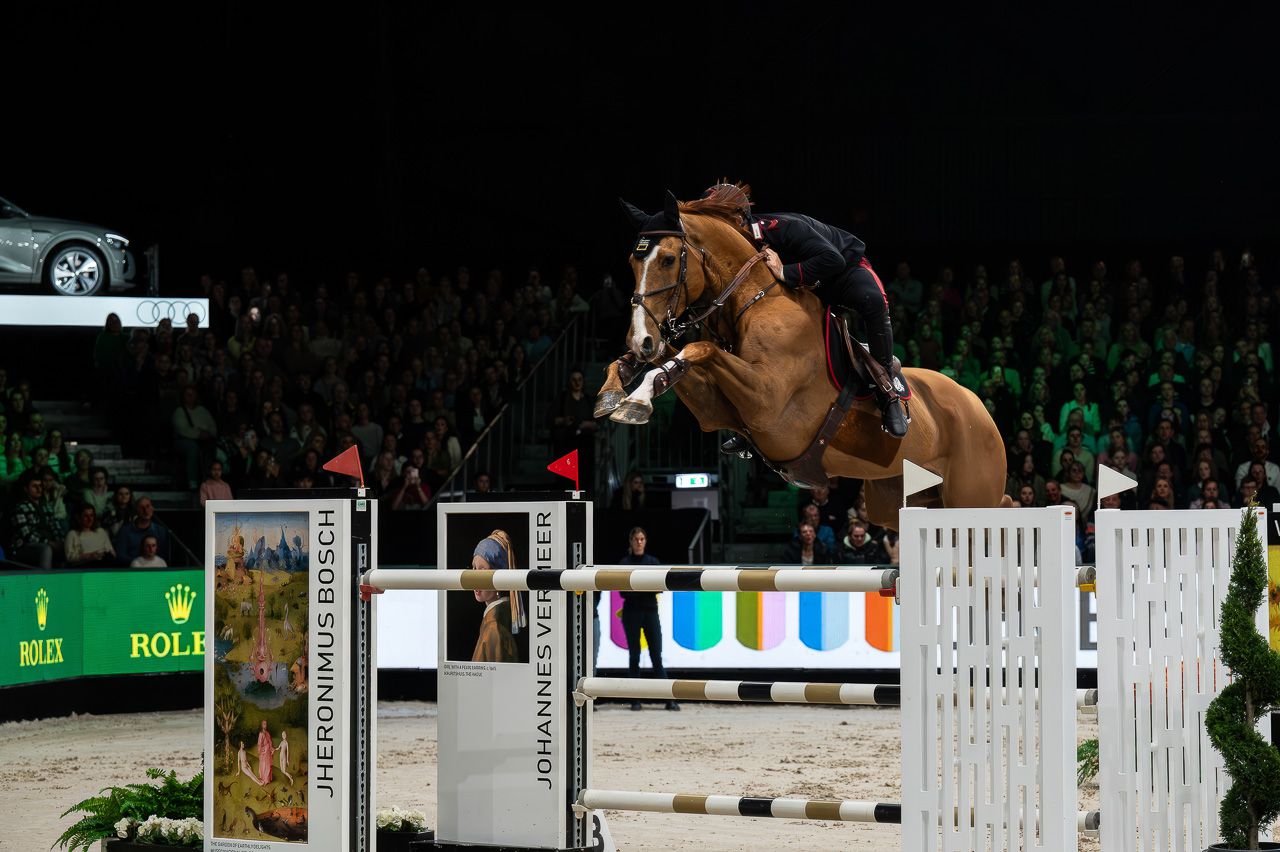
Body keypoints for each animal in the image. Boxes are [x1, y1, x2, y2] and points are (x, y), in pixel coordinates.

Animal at [595, 191, 1013, 531]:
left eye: (667, 259)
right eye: (632, 263)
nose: (641, 339)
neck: (753, 300)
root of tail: (979, 406)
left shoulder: (766, 402)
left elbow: (700, 351)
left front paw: (635, 400)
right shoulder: (719, 410)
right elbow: (675, 359)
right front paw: (616, 392)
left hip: (970, 495)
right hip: (894, 497)